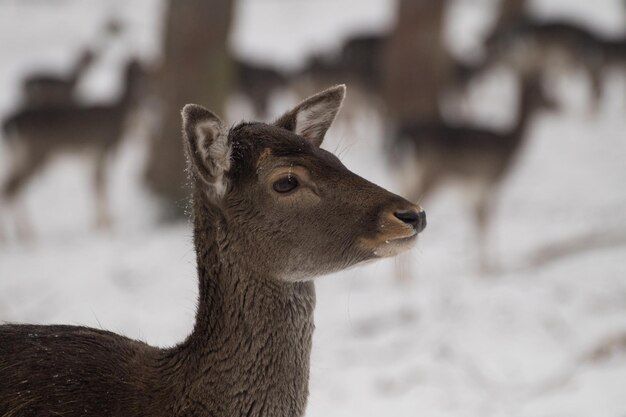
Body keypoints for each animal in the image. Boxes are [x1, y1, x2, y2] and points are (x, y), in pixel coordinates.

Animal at [0, 57, 144, 234]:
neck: (119, 115)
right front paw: (106, 224)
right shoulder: (102, 147)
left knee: (8, 187)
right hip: (35, 152)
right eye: (140, 69)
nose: (143, 89)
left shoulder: (91, 155)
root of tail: (8, 124)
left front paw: (98, 223)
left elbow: (94, 184)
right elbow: (101, 184)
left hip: (14, 155)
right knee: (12, 188)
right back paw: (25, 233)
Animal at [390, 73, 556, 272]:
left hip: (403, 176)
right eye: (541, 89)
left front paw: (475, 263)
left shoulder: (471, 191)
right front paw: (489, 266)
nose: (556, 105)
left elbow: (476, 222)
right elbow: (485, 222)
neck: (508, 146)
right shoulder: (487, 183)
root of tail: (403, 142)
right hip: (430, 175)